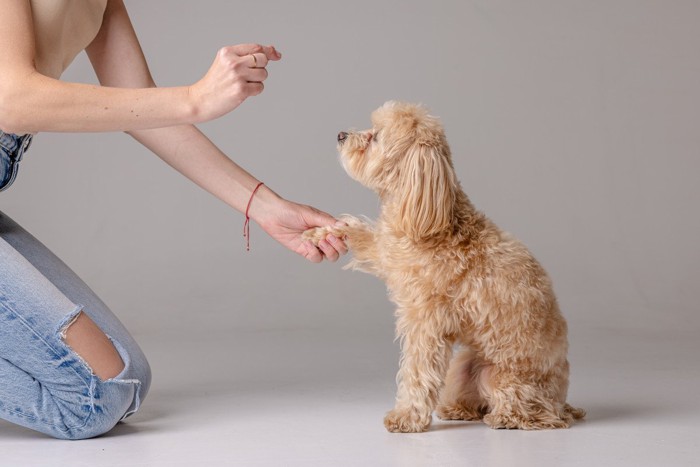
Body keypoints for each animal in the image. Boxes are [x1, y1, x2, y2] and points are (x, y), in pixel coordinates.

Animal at [304, 100, 584, 434]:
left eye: (377, 137)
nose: (341, 134)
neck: (435, 220)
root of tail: (562, 402)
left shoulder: (426, 323)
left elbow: (417, 372)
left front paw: (406, 417)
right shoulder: (388, 253)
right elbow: (353, 229)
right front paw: (318, 234)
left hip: (506, 378)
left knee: (536, 413)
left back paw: (505, 418)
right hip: (465, 366)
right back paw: (460, 409)